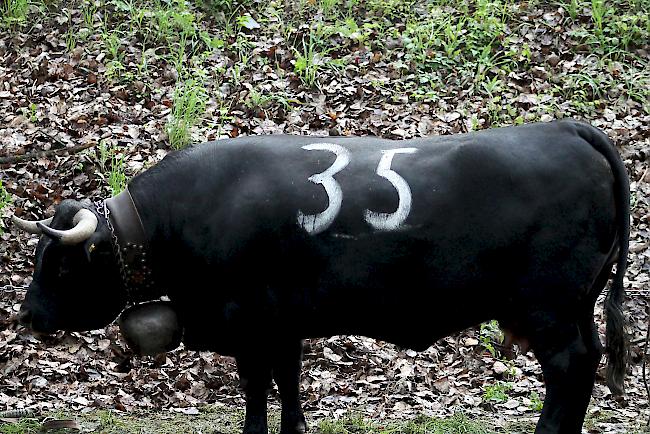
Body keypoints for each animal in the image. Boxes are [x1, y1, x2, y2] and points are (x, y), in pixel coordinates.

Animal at [12, 120, 624, 434]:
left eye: (61, 262)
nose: (26, 315)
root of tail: (564, 129)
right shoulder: (284, 326)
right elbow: (288, 387)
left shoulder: (251, 325)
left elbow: (257, 391)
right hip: (575, 306)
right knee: (588, 364)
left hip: (550, 308)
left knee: (570, 368)